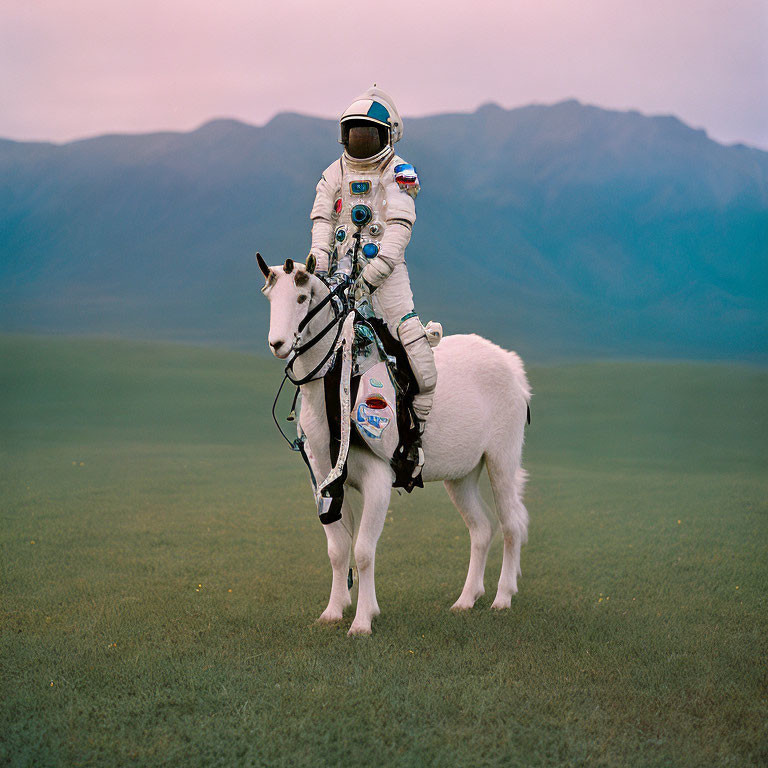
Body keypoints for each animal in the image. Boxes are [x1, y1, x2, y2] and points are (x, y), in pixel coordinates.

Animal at [256, 255, 528, 632]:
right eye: (269, 297)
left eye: (300, 298)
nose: (278, 344)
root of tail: (512, 365)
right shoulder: (325, 483)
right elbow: (338, 550)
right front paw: (333, 611)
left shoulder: (378, 481)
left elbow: (363, 551)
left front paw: (362, 622)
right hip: (461, 477)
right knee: (481, 529)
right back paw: (465, 600)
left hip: (501, 460)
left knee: (511, 523)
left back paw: (502, 598)